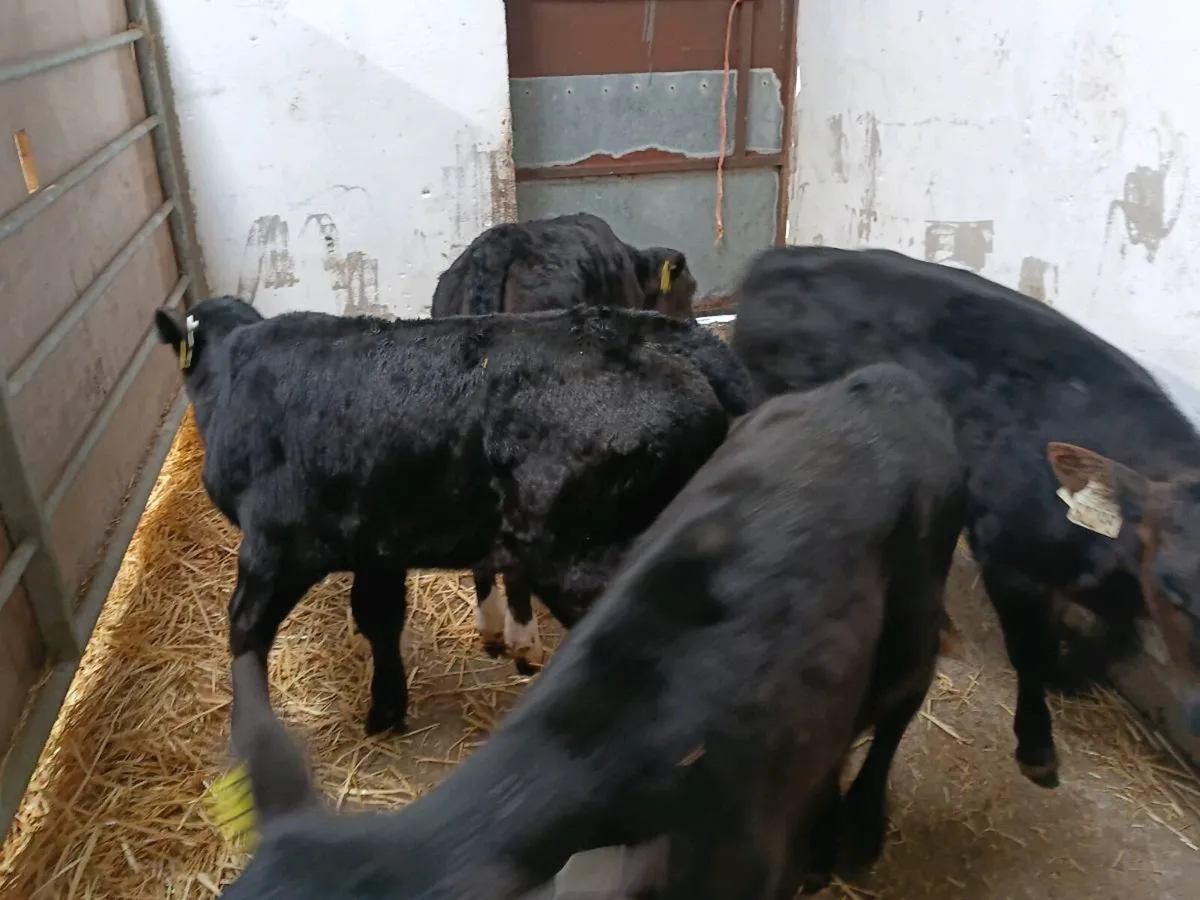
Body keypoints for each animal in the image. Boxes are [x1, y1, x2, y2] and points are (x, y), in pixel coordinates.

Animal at [154, 298, 754, 735]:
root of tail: (673, 335)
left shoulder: (275, 546)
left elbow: (246, 632)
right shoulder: (377, 542)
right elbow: (379, 617)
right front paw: (388, 708)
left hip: (585, 557)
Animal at [730, 244, 1200, 789]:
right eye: (1175, 590)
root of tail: (782, 254)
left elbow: (1117, 639)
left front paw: (1072, 674)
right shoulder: (1008, 557)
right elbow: (1031, 650)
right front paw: (1036, 742)